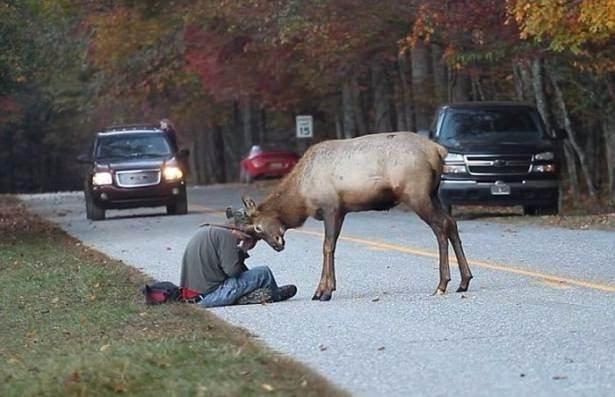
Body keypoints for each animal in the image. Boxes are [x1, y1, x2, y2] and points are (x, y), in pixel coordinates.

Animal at [243, 131, 474, 300]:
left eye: (258, 227)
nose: (277, 245)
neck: (301, 198)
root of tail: (438, 150)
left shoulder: (331, 207)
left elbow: (327, 247)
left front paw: (323, 291)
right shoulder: (342, 211)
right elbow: (332, 246)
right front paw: (327, 288)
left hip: (417, 194)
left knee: (440, 226)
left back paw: (442, 284)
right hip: (433, 193)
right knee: (451, 223)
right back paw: (464, 281)